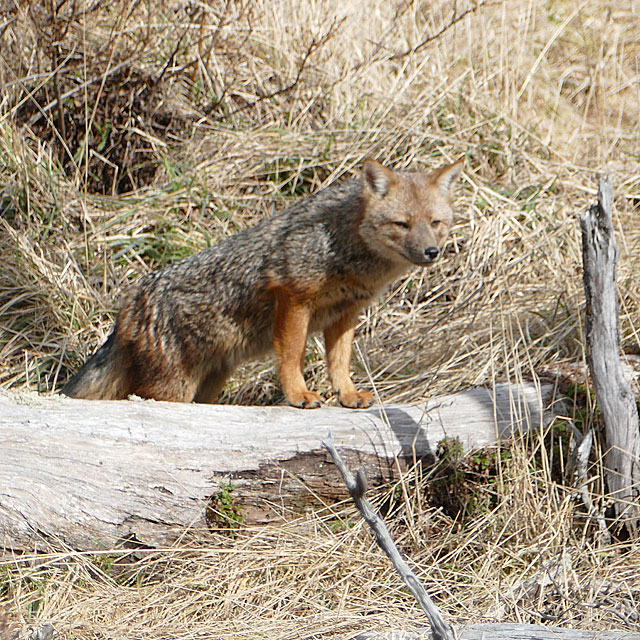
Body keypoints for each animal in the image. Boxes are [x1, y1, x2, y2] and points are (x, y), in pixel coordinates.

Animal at [63, 158, 464, 408]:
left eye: (435, 222)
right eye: (402, 224)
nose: (431, 252)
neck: (343, 244)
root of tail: (130, 304)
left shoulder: (345, 312)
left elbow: (340, 362)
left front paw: (348, 395)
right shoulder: (293, 296)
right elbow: (292, 354)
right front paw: (298, 394)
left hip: (208, 384)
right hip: (173, 390)